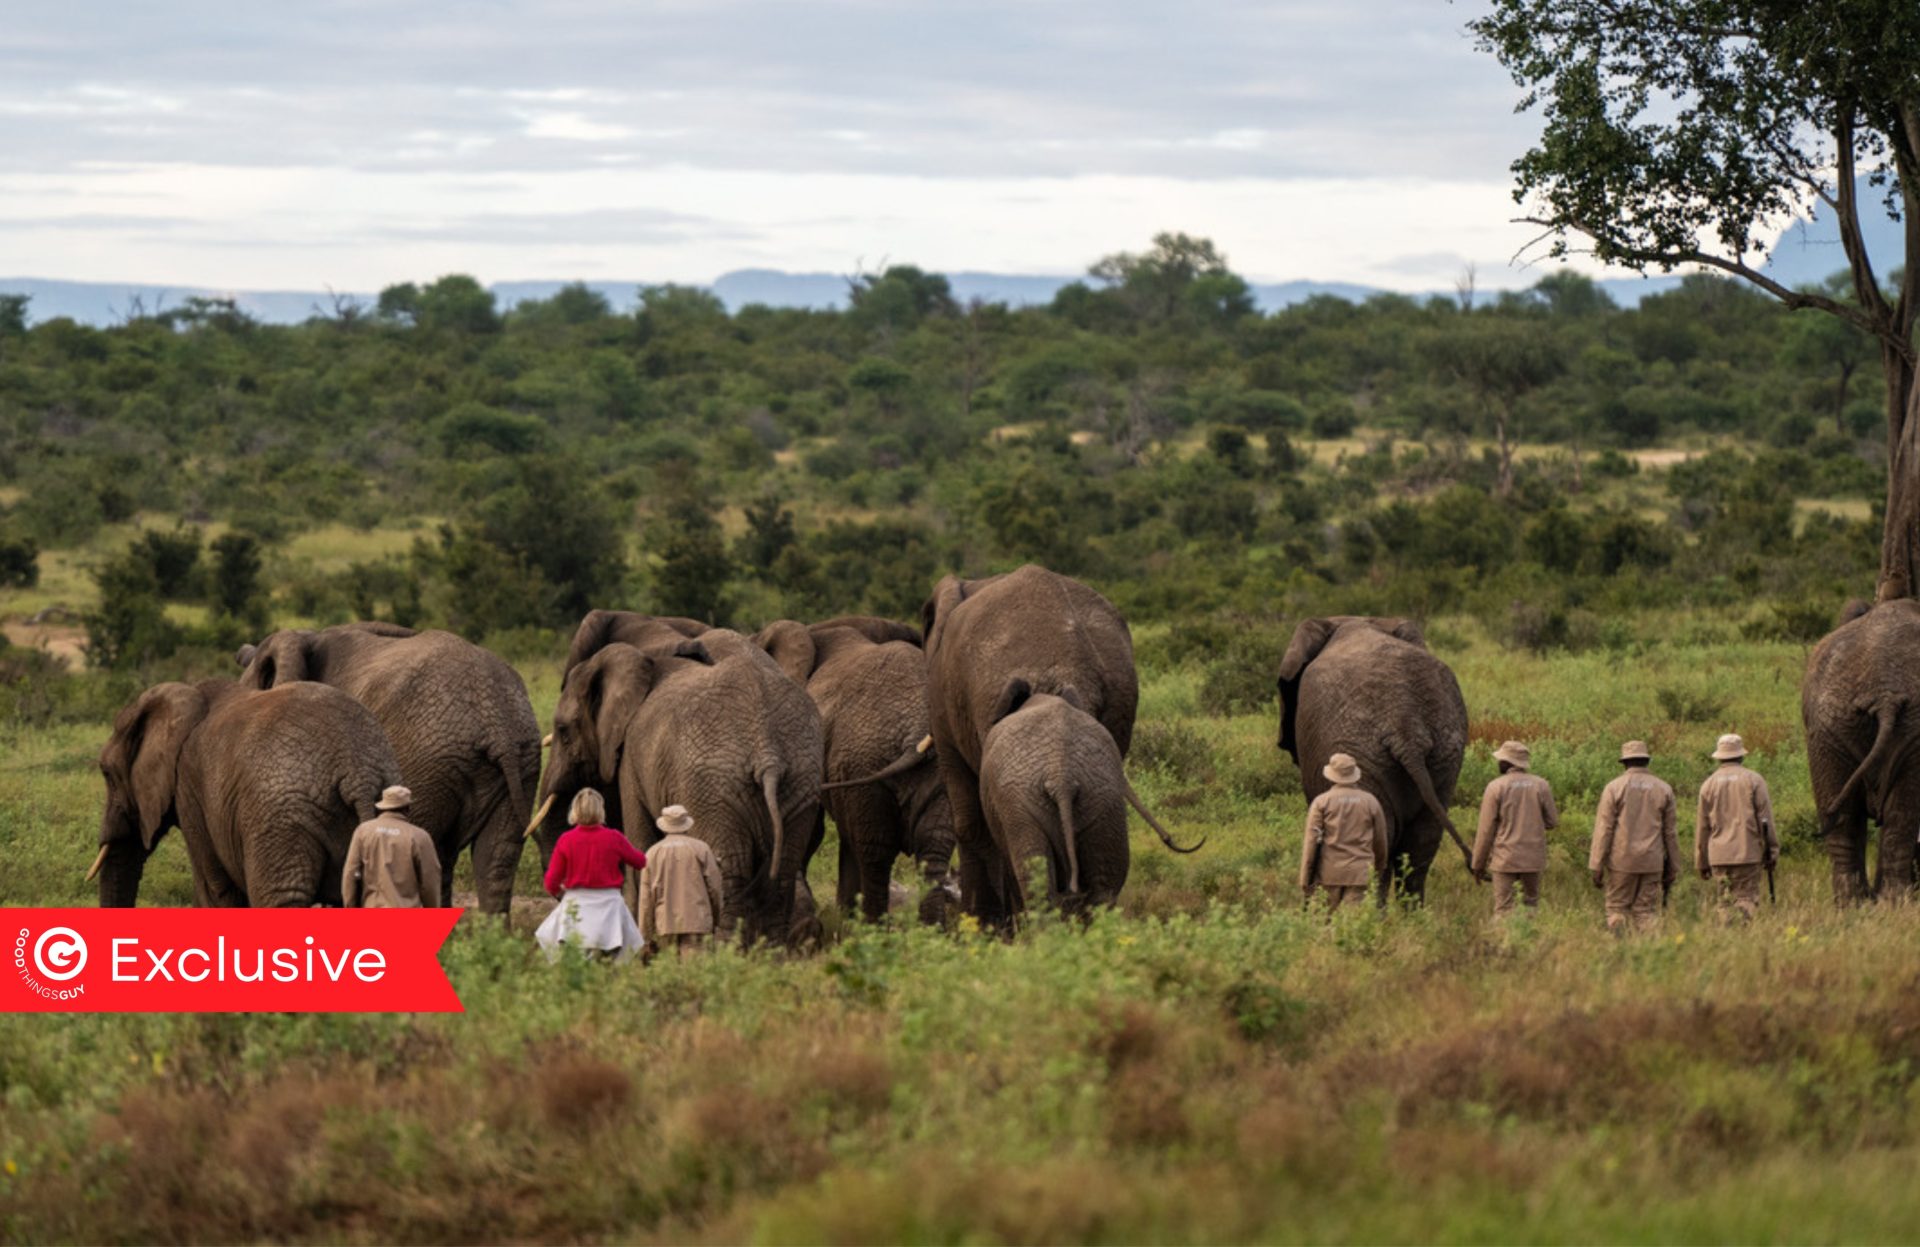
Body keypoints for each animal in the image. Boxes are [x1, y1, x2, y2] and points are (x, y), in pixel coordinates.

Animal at [535, 633, 823, 946]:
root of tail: (767, 752)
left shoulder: (632, 760)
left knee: (729, 869)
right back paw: (769, 953)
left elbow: (640, 842)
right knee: (781, 872)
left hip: (713, 787)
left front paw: (648, 950)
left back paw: (720, 951)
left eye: (563, 731)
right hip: (799, 780)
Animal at [753, 616, 955, 924]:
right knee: (932, 845)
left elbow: (813, 830)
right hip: (922, 770)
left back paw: (873, 927)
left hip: (863, 762)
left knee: (875, 852)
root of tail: (916, 729)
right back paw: (931, 930)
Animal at [1802, 598, 1920, 902]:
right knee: (1898, 814)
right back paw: (1891, 902)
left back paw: (1857, 903)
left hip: (1830, 724)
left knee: (1845, 816)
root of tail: (1884, 693)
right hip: (1838, 726)